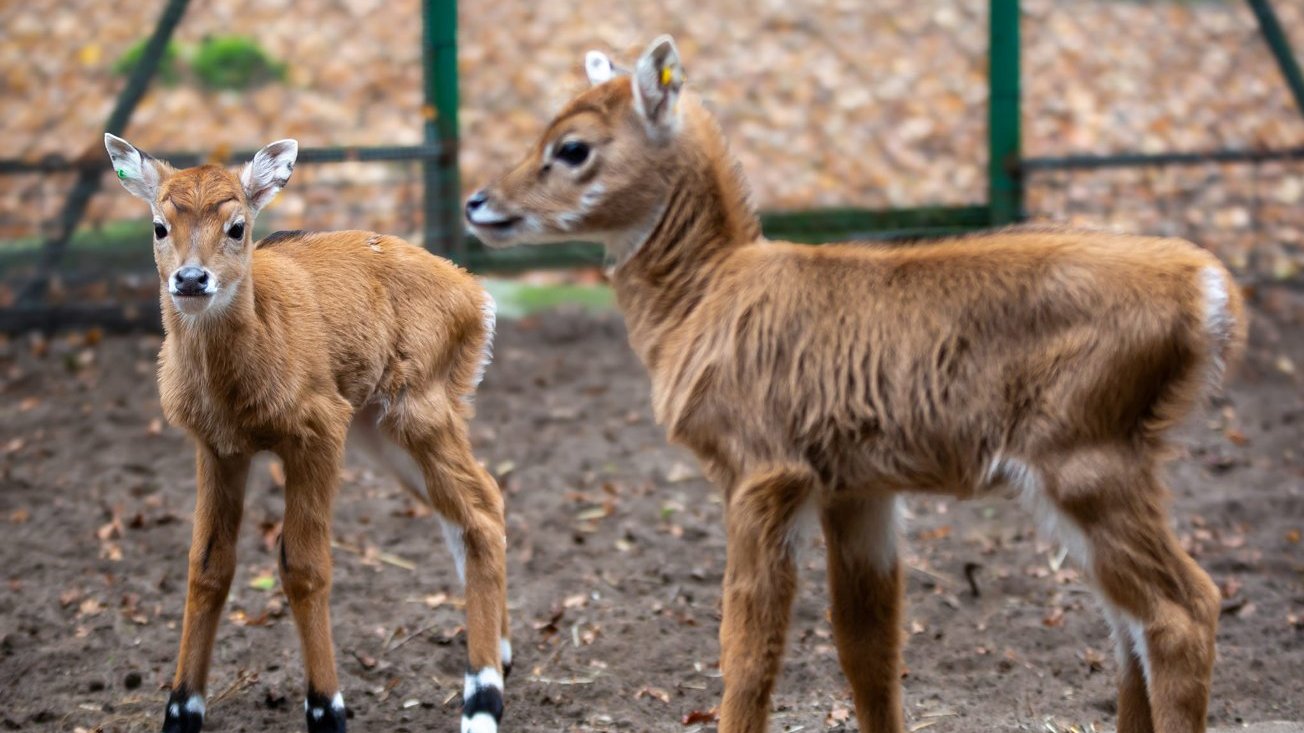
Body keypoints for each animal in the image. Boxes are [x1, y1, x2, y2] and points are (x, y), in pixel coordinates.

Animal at [104, 132, 511, 730]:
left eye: (237, 226)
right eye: (159, 225)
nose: (192, 279)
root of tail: (477, 296)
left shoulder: (317, 431)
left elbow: (303, 566)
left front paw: (326, 708)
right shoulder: (218, 448)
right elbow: (207, 566)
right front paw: (181, 709)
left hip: (419, 407)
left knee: (478, 512)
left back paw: (482, 697)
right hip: (380, 431)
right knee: (478, 503)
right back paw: (500, 655)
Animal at [472, 38, 1251, 730]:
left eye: (573, 146)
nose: (479, 202)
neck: (703, 299)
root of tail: (1210, 291)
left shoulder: (764, 468)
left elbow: (748, 650)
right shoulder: (857, 486)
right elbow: (867, 647)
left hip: (1085, 455)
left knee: (1184, 610)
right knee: (1130, 624)